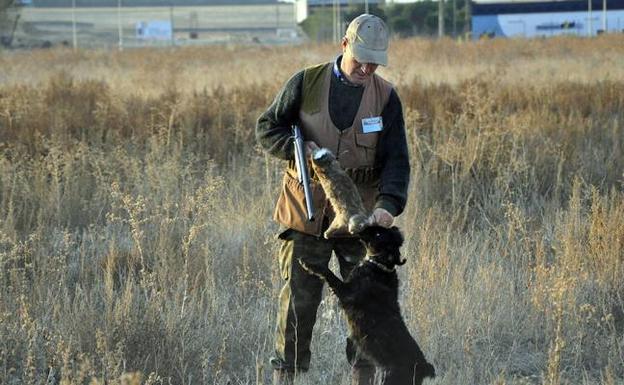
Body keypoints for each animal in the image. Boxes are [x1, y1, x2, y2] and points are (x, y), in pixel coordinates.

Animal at [300, 225, 436, 384]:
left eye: (378, 234)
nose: (365, 226)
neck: (379, 266)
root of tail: (423, 367)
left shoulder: (346, 292)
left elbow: (328, 273)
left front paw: (309, 264)